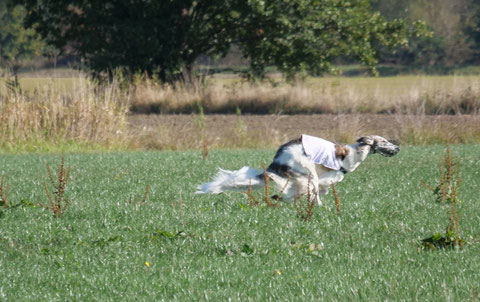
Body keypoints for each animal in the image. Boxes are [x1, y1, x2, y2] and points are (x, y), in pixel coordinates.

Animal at [196, 135, 402, 204]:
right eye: (384, 141)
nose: (398, 148)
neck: (353, 153)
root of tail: (277, 159)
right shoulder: (325, 177)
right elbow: (318, 191)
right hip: (307, 171)